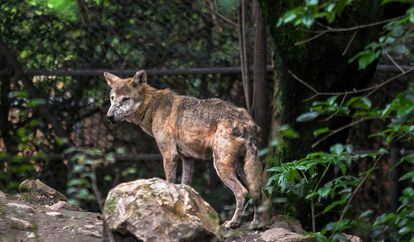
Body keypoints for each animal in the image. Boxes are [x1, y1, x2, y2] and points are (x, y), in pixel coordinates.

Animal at [105, 70, 264, 229]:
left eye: (125, 99)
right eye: (112, 98)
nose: (109, 116)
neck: (152, 106)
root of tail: (247, 121)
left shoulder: (169, 155)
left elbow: (169, 183)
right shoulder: (187, 159)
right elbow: (185, 186)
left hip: (221, 166)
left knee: (242, 191)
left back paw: (233, 223)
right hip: (242, 168)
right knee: (257, 191)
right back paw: (256, 224)